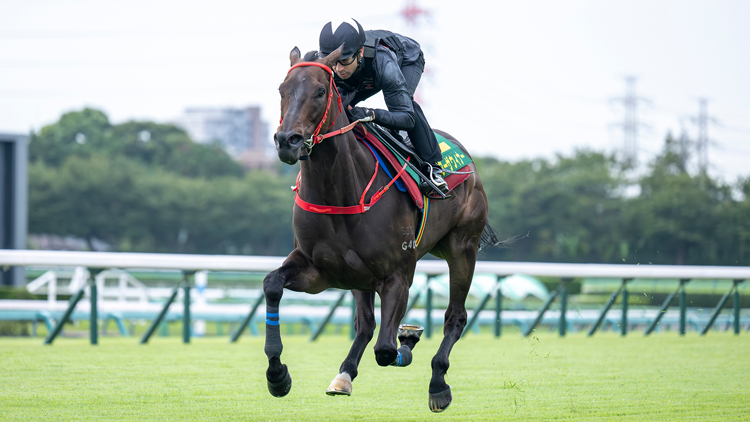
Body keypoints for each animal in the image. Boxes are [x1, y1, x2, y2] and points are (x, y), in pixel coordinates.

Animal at [264, 45, 494, 413]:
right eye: (282, 90)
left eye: (320, 91)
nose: (288, 140)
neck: (340, 191)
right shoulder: (318, 271)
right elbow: (272, 284)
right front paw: (278, 376)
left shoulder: (397, 274)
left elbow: (386, 350)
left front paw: (409, 338)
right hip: (359, 275)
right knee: (366, 324)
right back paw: (344, 375)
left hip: (463, 247)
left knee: (455, 317)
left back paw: (437, 382)